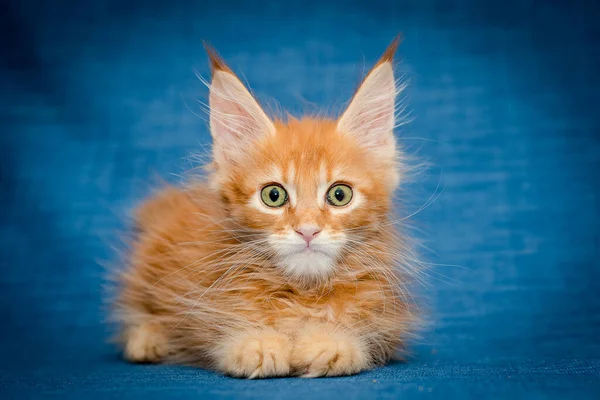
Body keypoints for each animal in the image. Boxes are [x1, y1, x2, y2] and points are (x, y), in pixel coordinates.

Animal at [116, 37, 418, 378]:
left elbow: (360, 337)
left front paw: (331, 342)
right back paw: (147, 340)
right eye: (273, 196)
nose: (307, 230)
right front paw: (256, 343)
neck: (302, 294)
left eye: (339, 195)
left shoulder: (384, 319)